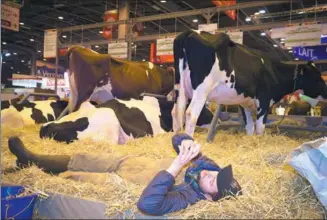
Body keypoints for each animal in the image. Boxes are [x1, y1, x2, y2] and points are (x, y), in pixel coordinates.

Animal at [172, 29, 327, 136]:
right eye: (317, 76)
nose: (326, 91)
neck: (272, 70)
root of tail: (190, 32)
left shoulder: (244, 103)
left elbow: (249, 126)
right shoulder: (264, 101)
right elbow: (259, 127)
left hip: (180, 88)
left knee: (176, 111)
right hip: (201, 89)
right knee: (191, 114)